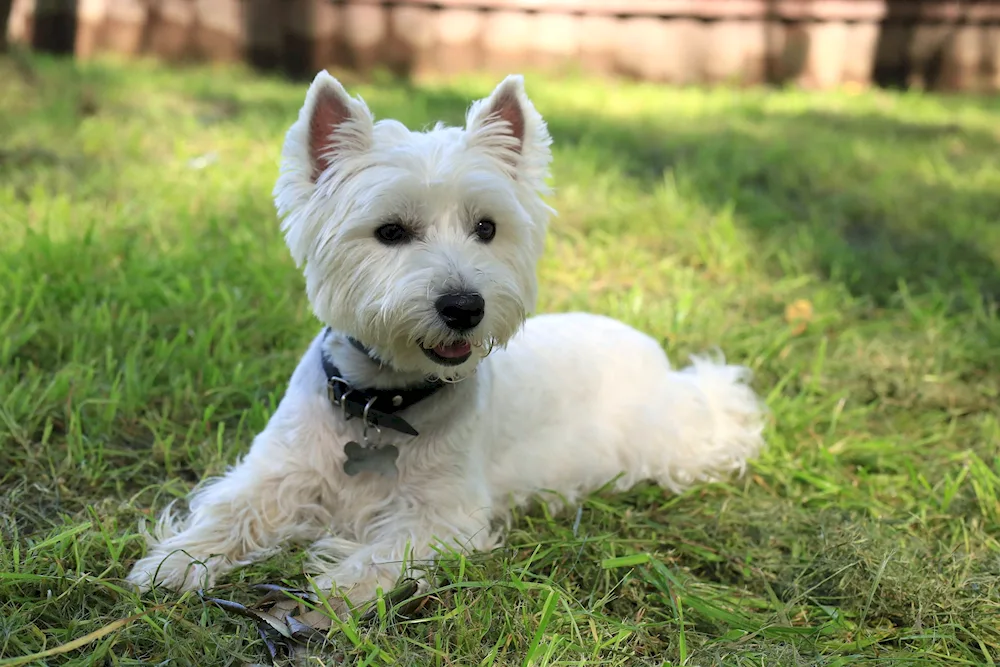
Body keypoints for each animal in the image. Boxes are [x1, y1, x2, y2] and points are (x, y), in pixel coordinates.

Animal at [125, 72, 764, 604]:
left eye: (487, 227)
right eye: (389, 231)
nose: (464, 307)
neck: (380, 403)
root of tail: (651, 350)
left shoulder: (447, 510)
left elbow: (388, 551)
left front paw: (335, 592)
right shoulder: (278, 469)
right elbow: (229, 511)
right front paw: (174, 564)